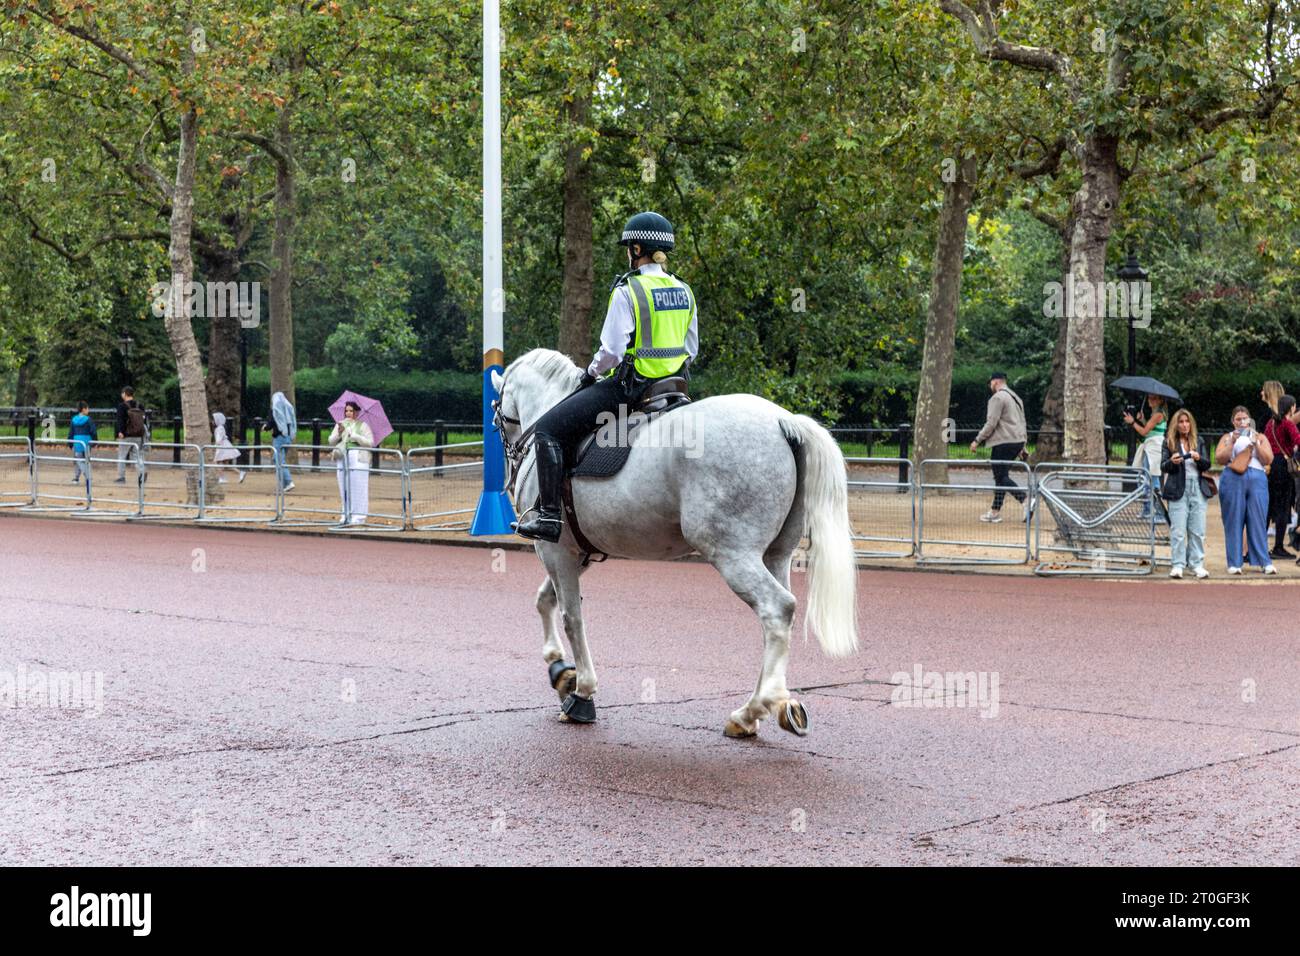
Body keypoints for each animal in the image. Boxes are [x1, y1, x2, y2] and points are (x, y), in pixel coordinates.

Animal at [491, 351, 857, 738]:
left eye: (497, 413)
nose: (510, 470)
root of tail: (782, 421)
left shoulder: (555, 550)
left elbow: (571, 617)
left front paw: (582, 692)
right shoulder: (576, 553)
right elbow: (545, 600)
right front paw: (560, 670)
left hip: (733, 555)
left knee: (777, 609)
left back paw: (755, 708)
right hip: (777, 555)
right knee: (778, 618)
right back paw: (771, 706)